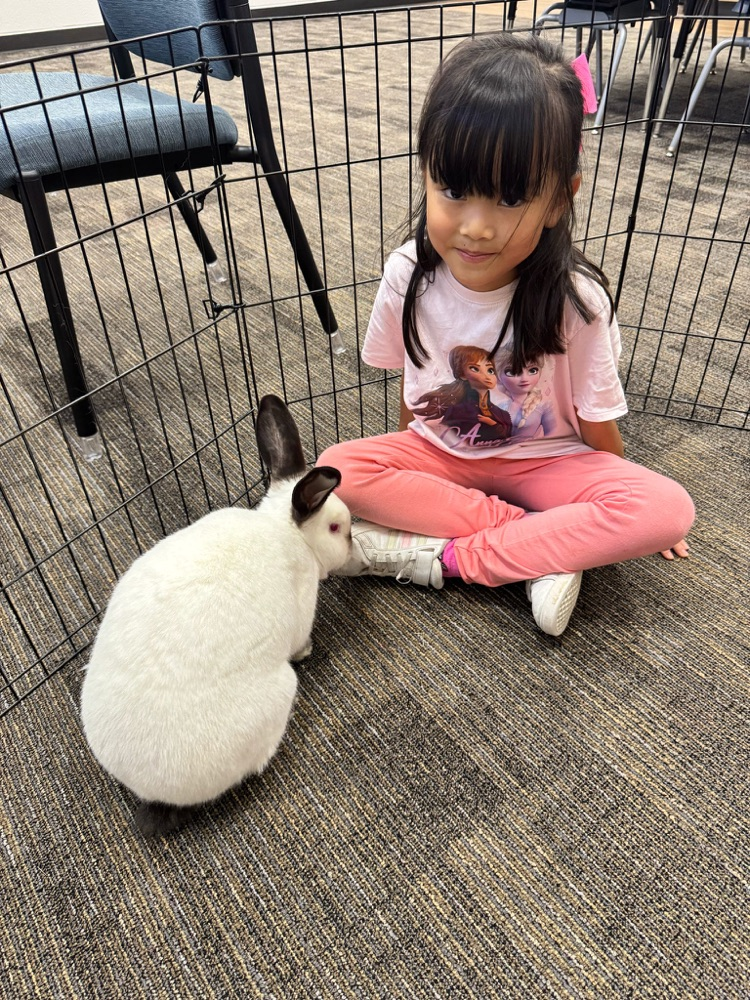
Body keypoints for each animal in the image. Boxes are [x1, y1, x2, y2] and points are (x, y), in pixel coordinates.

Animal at [80, 394, 352, 836]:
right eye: (334, 527)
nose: (352, 543)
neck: (287, 531)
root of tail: (150, 790)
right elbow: (300, 639)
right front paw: (308, 650)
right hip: (281, 693)